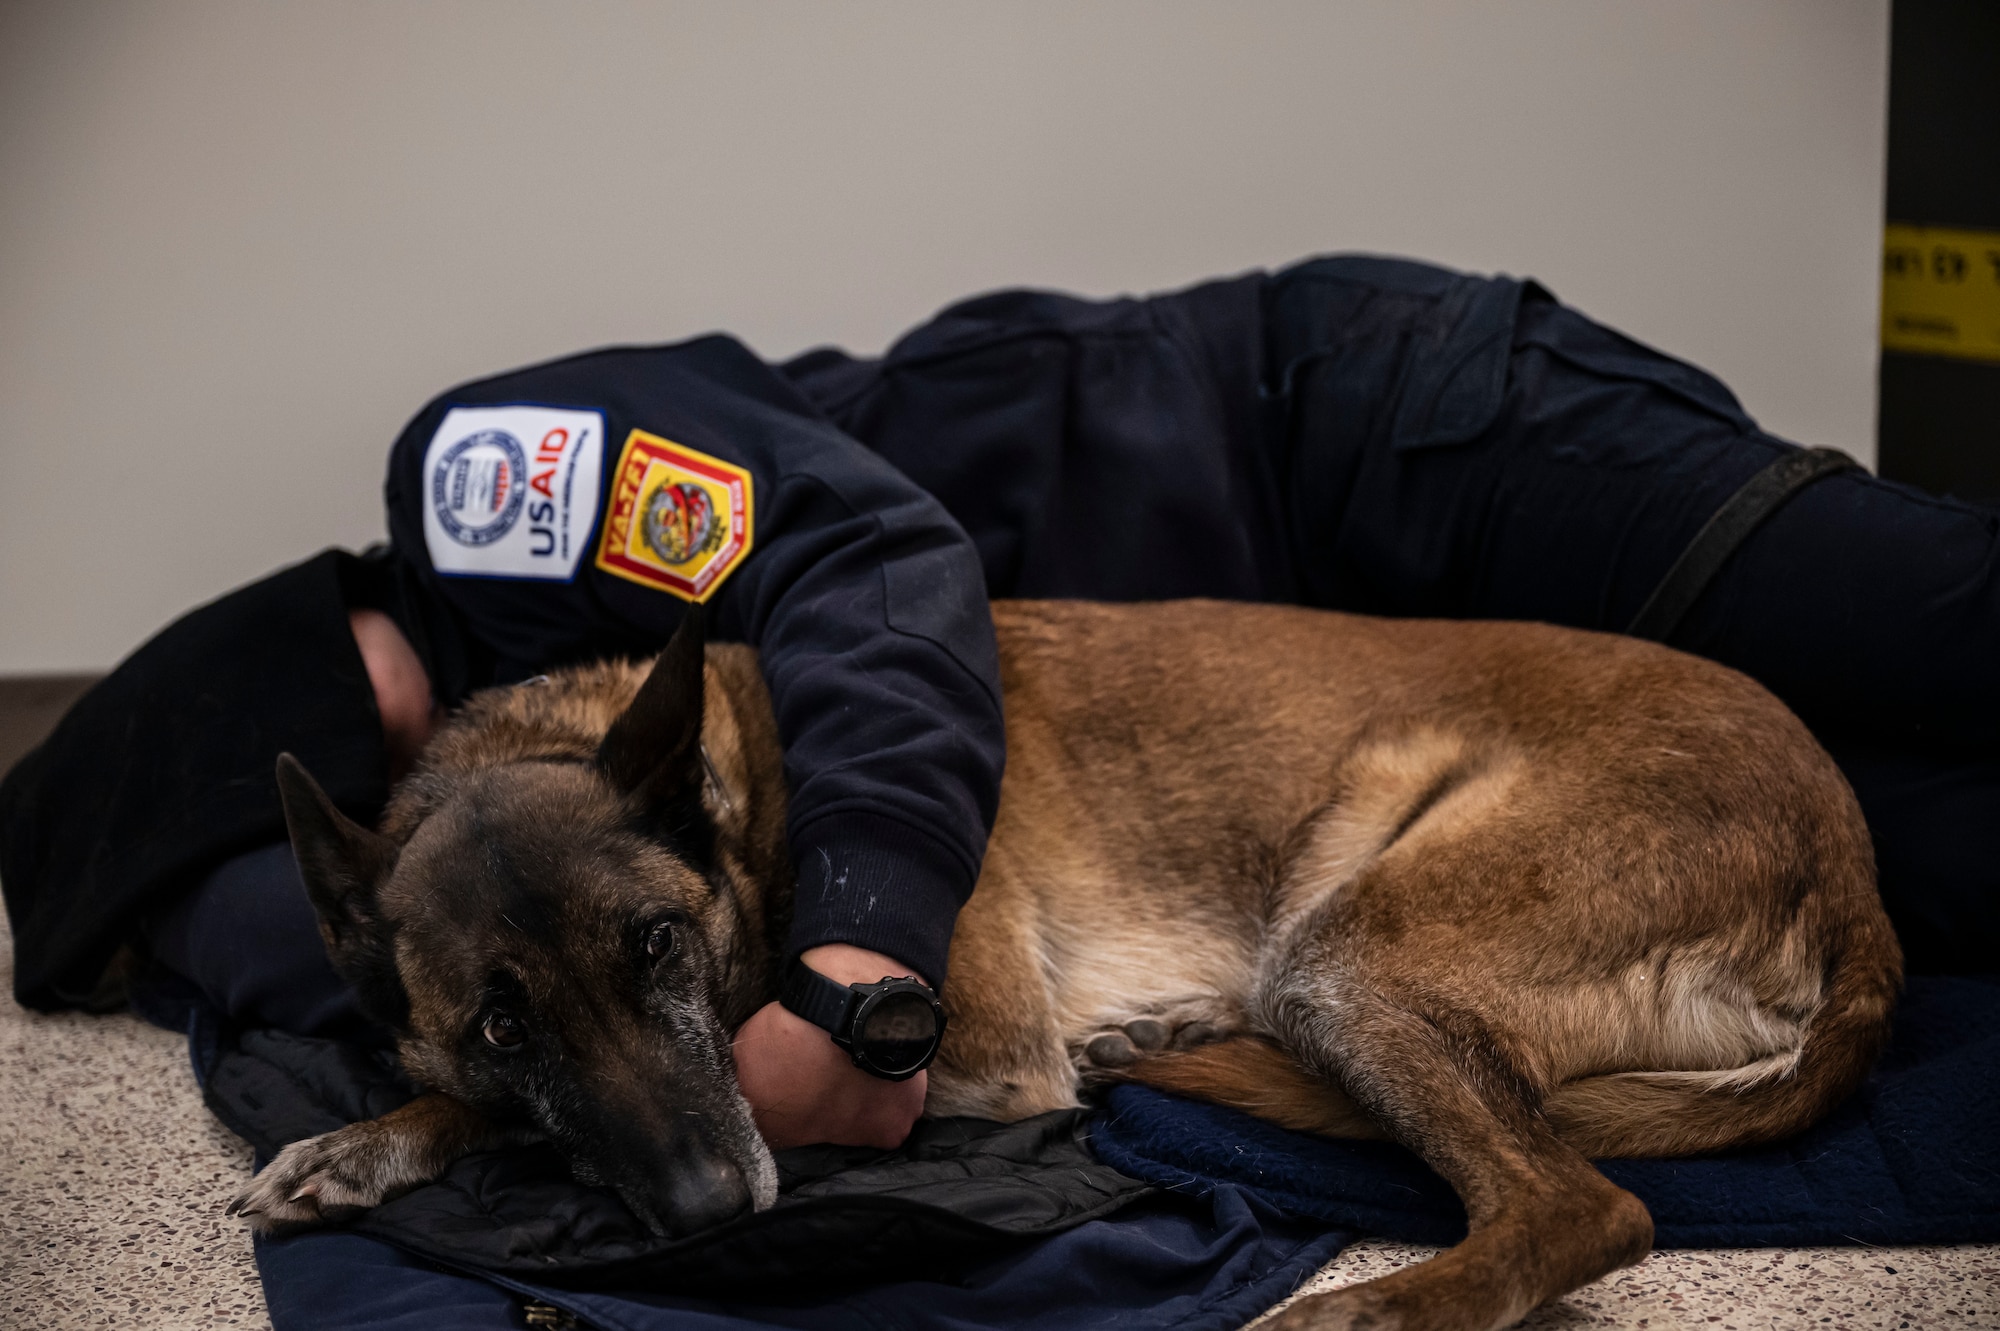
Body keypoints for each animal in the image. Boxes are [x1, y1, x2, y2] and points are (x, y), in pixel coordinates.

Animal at [238, 599, 1904, 1327]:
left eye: (656, 944)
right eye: (503, 1025)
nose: (712, 1211)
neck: (755, 810)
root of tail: (1855, 862)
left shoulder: (954, 1058)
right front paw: (371, 1135)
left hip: (1346, 949)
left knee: (1582, 1204)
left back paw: (1364, 1308)